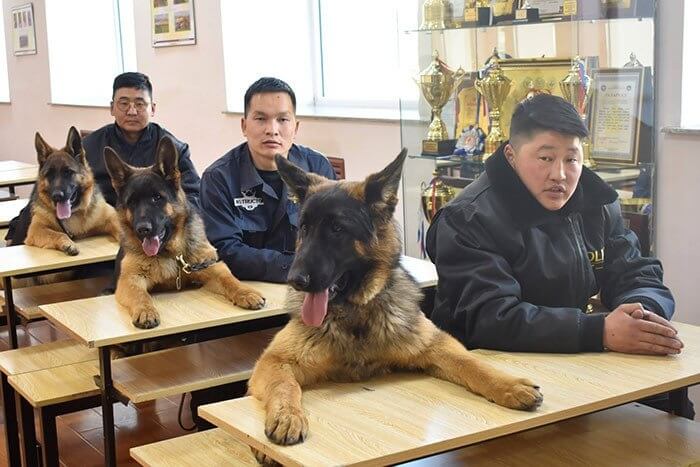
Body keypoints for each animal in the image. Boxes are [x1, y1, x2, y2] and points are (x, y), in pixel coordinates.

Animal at [23, 126, 119, 254]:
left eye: (68, 172)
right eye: (49, 175)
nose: (57, 196)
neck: (74, 213)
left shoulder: (112, 217)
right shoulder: (36, 229)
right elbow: (58, 234)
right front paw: (68, 243)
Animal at [102, 137, 266, 330]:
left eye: (157, 198)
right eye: (132, 202)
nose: (143, 229)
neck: (171, 253)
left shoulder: (211, 266)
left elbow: (229, 279)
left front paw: (246, 292)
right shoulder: (130, 280)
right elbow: (140, 295)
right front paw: (145, 311)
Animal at [249, 151, 544, 464]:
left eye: (337, 229)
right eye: (304, 228)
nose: (295, 280)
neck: (358, 315)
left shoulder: (437, 344)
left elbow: (471, 363)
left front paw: (509, 385)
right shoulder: (274, 361)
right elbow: (285, 384)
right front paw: (287, 416)